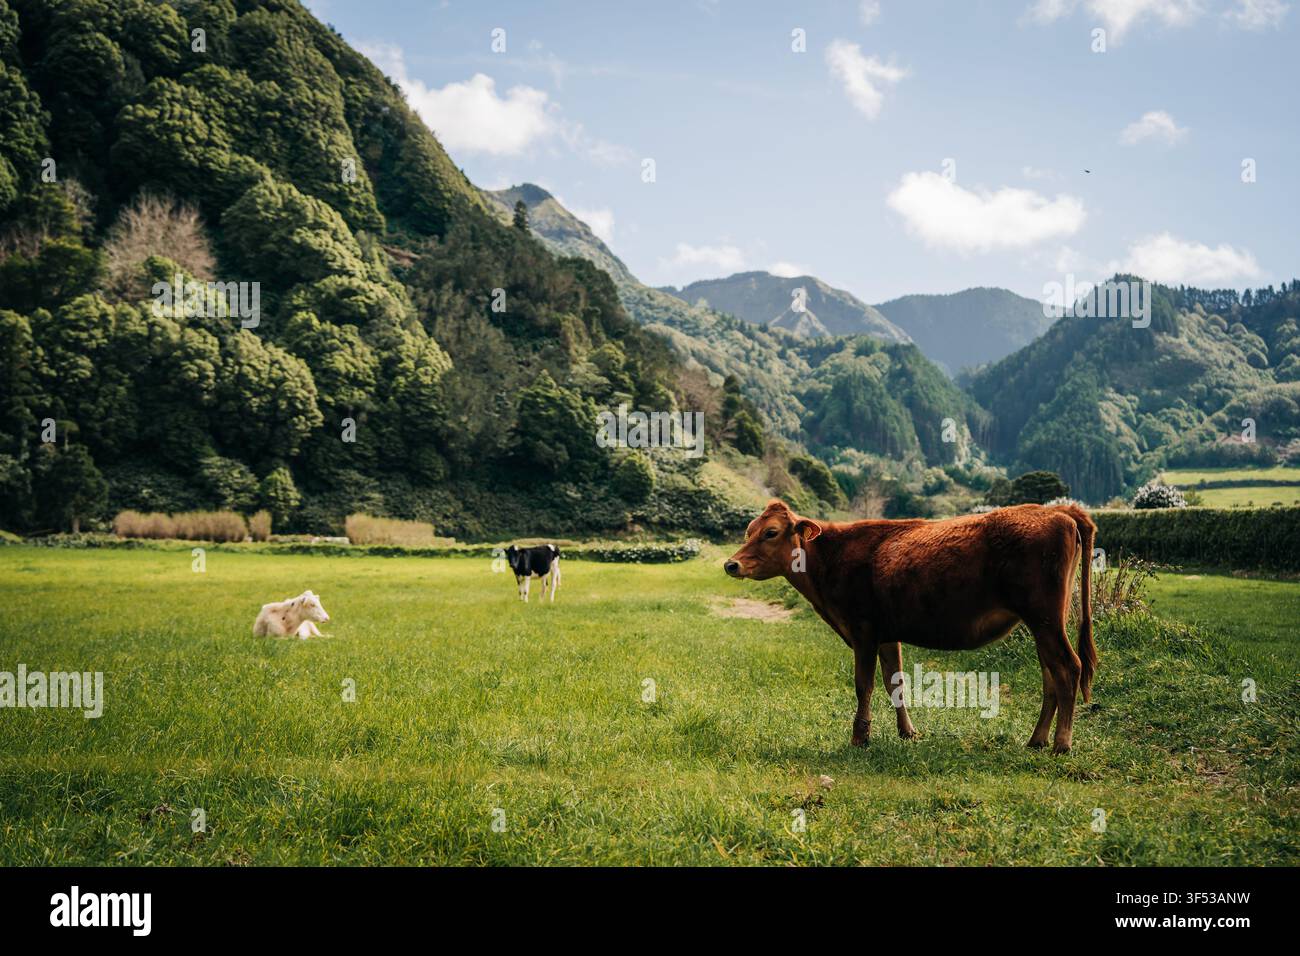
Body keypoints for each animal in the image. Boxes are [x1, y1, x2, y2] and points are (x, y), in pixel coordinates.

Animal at [724, 499, 1097, 754]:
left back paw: (1062, 743)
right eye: (748, 531)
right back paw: (1037, 739)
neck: (830, 561)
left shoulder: (863, 630)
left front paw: (860, 737)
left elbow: (864, 685)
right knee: (1051, 674)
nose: (731, 564)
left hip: (1045, 617)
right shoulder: (888, 636)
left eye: (771, 532)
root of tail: (1058, 511)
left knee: (1068, 667)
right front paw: (908, 732)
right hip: (1043, 623)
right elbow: (896, 683)